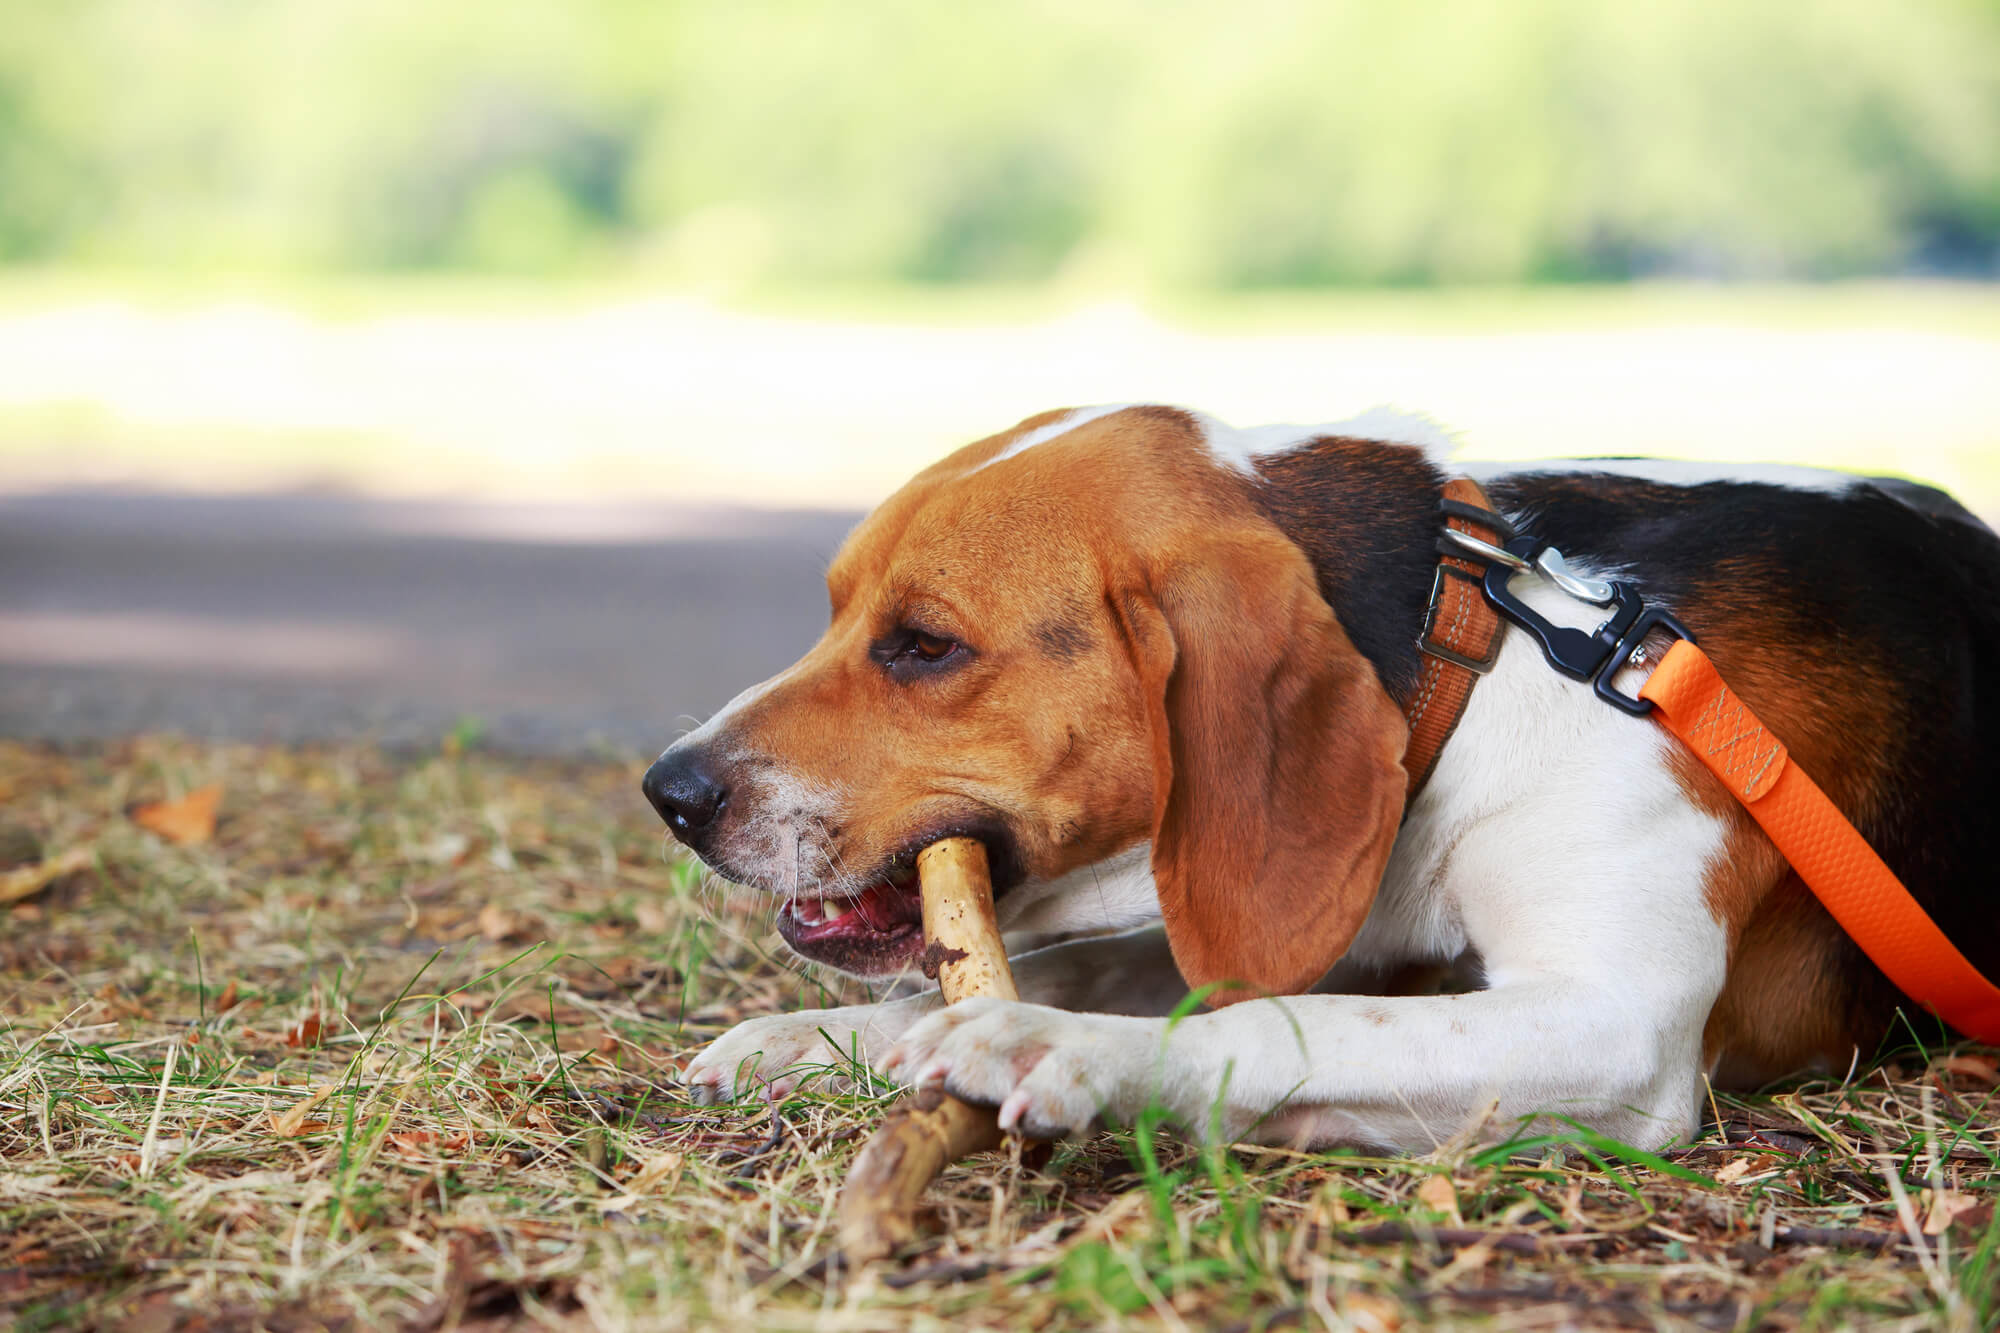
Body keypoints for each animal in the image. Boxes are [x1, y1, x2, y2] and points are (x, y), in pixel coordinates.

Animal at [644, 400, 2000, 1144]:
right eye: (833, 608)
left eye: (923, 646)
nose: (671, 793)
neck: (1479, 649)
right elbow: (1114, 970)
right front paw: (821, 1037)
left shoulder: (1614, 1026)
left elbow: (1282, 1023)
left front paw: (1049, 1044)